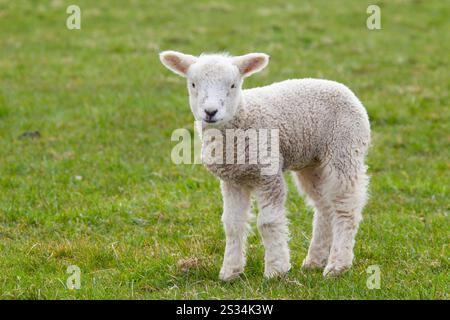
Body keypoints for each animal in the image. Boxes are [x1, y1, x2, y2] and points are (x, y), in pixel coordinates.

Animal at [160, 50, 370, 280]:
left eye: (233, 85)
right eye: (193, 84)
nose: (210, 111)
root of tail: (343, 88)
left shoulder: (268, 175)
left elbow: (268, 222)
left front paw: (276, 269)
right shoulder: (233, 180)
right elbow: (233, 224)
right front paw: (230, 271)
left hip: (344, 148)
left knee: (345, 206)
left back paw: (337, 265)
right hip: (312, 163)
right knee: (324, 206)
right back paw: (314, 260)